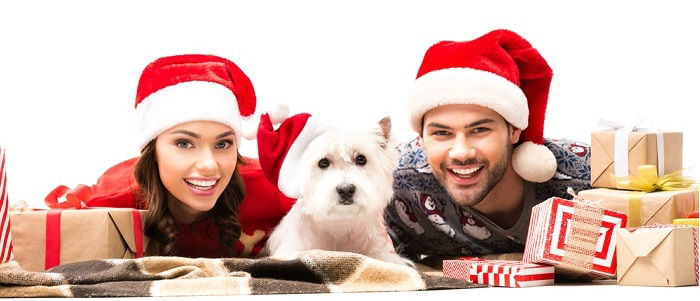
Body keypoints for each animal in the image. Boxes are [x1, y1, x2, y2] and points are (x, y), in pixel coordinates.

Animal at [266, 117, 412, 264]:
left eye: (361, 159)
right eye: (323, 162)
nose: (346, 189)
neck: (340, 224)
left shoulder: (381, 250)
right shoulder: (292, 248)